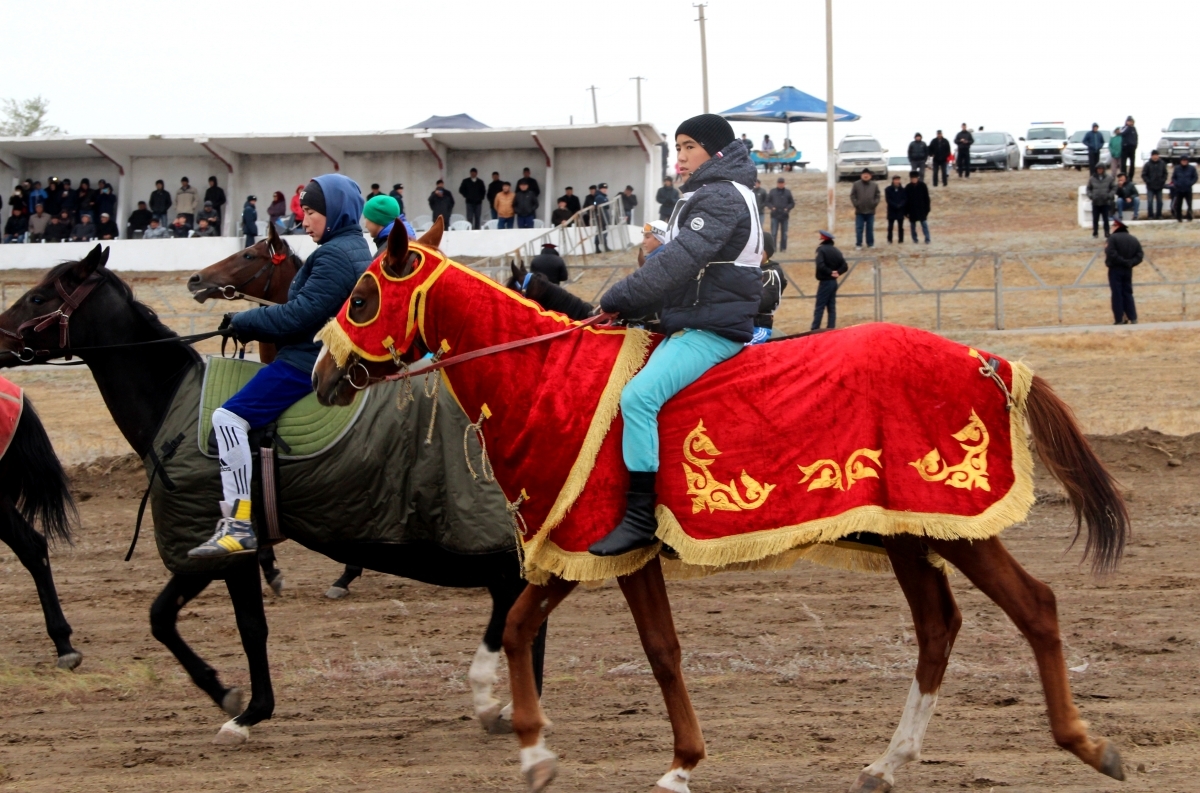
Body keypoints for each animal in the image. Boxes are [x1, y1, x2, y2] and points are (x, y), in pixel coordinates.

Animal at [312, 224, 1132, 791]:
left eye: (361, 296)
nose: (320, 372)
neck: (548, 374)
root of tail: (986, 359)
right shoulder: (600, 556)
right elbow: (579, 639)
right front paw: (552, 748)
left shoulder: (595, 545)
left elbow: (616, 644)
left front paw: (624, 758)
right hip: (907, 533)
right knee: (938, 628)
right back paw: (888, 762)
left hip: (955, 526)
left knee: (1035, 606)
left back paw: (1087, 742)